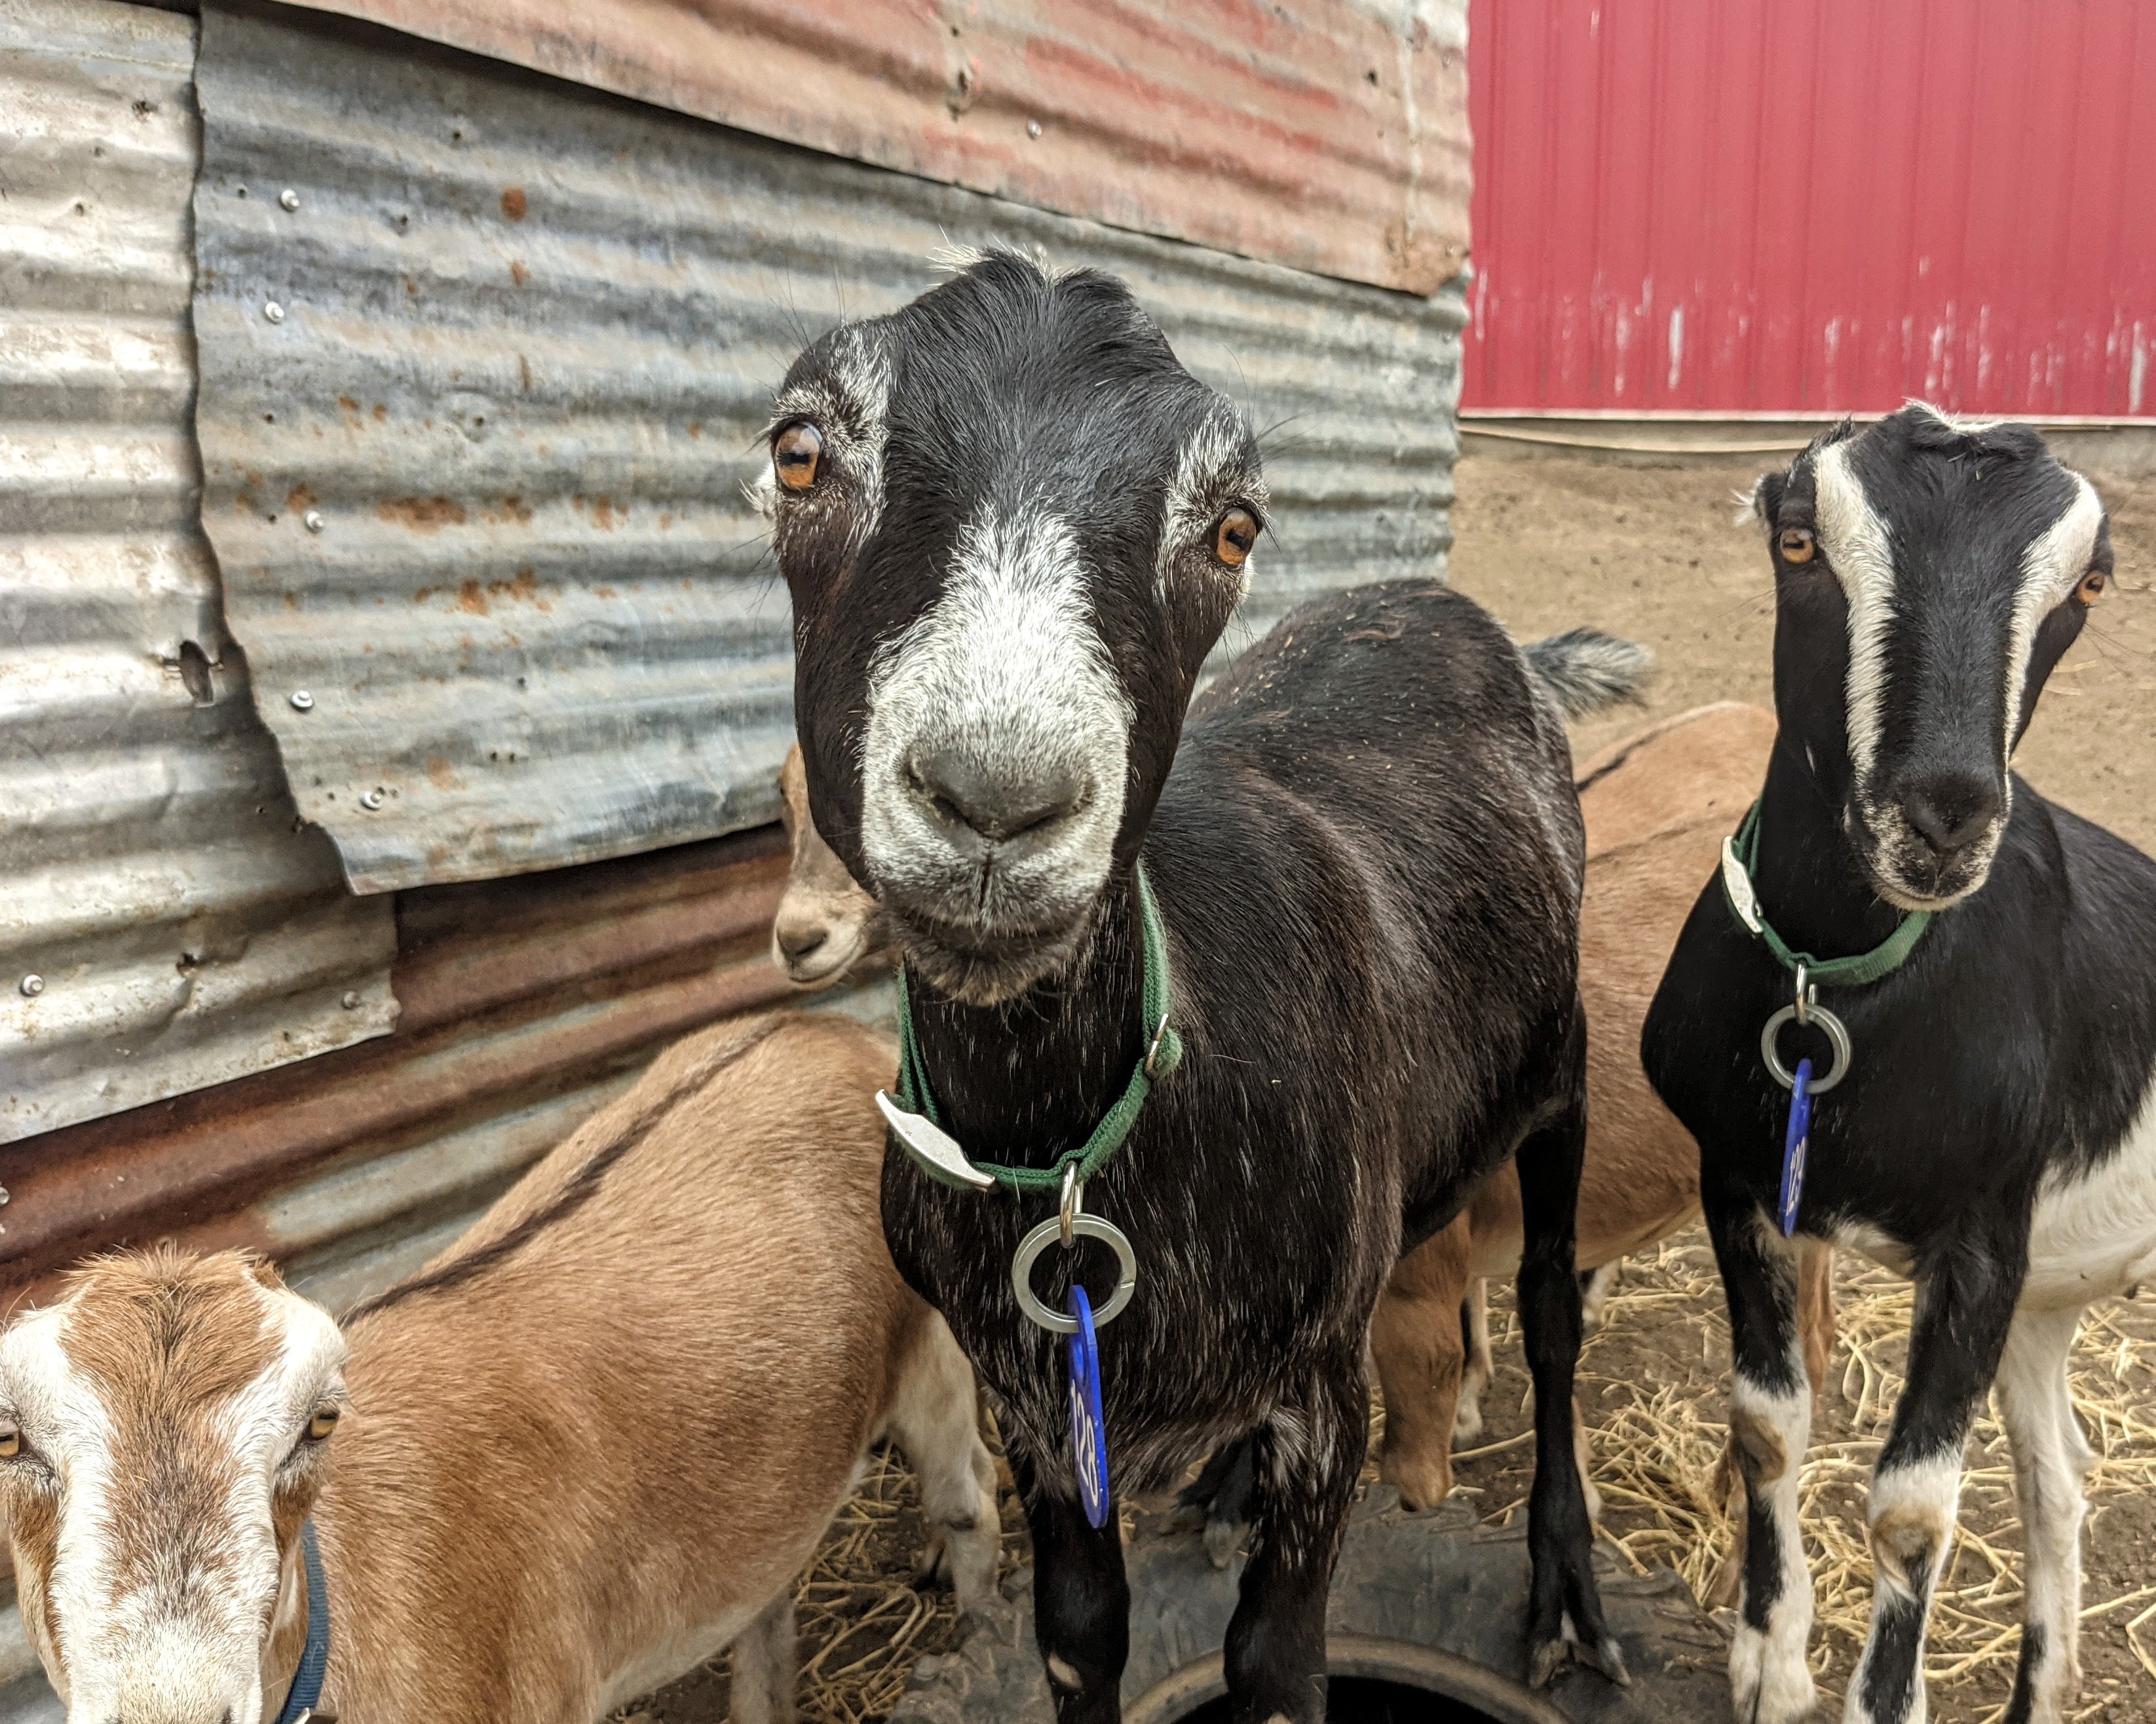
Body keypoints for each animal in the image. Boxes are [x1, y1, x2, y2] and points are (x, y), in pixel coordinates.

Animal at [762, 250, 1635, 1720]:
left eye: (1232, 527)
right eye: (798, 452)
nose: (996, 798)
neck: (1076, 1146)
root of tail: (1451, 605)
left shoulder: (1327, 1402)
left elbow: (1274, 1661)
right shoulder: (1042, 1416)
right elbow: (1080, 1636)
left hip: (1558, 1069)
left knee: (1554, 1313)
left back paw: (1566, 1585)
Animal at [1642, 406, 2147, 1724]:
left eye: (2089, 583)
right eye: (1798, 540)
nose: (1943, 810)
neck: (1843, 987)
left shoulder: (1980, 1237)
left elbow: (1913, 1510)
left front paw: (1879, 1695)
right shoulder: (1741, 1181)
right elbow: (1766, 1425)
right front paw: (1771, 1662)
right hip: (2046, 1300)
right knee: (2059, 1477)